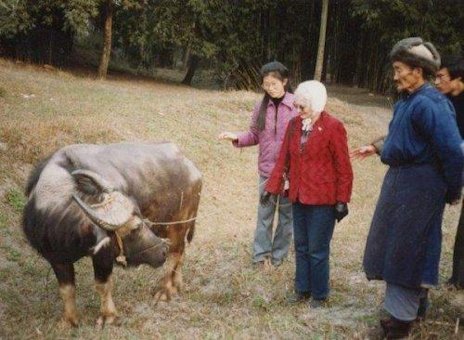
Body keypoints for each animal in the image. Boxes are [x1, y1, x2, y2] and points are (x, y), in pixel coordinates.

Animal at [22, 141, 201, 326]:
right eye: (135, 228)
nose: (161, 250)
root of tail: (191, 167)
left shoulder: (103, 255)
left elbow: (103, 285)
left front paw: (107, 316)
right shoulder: (57, 259)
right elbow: (66, 289)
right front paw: (69, 320)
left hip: (178, 226)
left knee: (176, 254)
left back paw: (165, 290)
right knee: (181, 253)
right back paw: (176, 284)